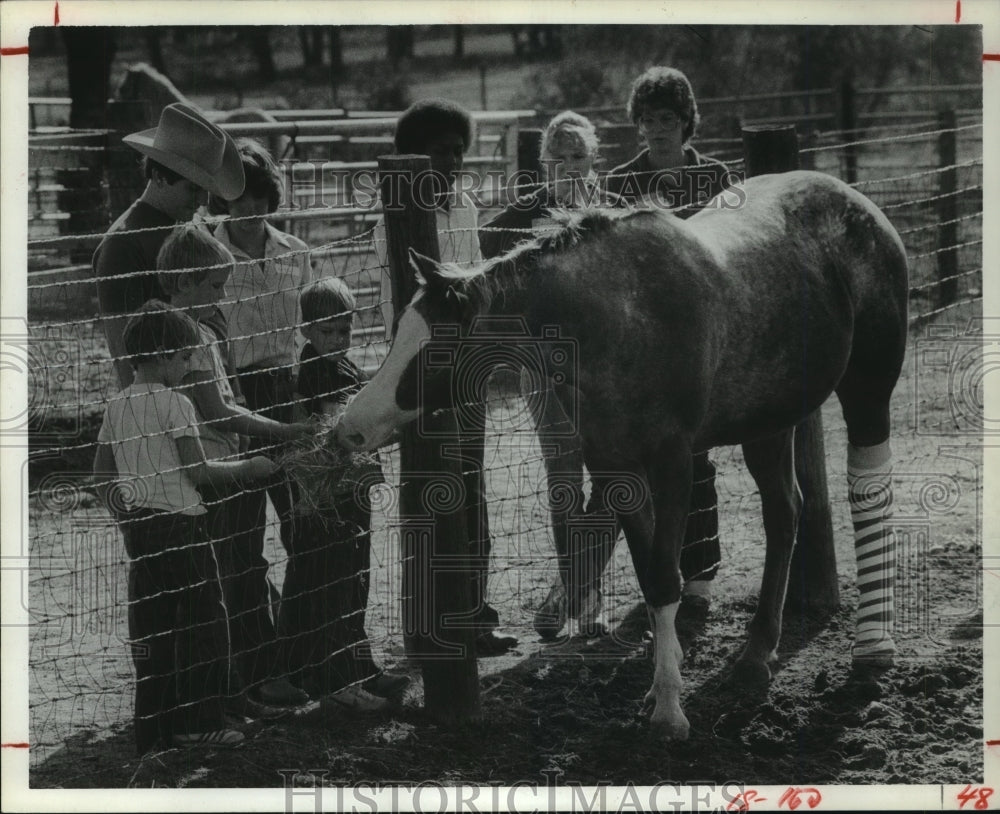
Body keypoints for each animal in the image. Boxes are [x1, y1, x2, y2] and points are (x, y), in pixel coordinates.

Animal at [334, 171, 908, 740]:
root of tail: (856, 203)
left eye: (436, 349)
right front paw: (659, 688)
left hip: (868, 388)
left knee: (867, 490)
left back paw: (873, 648)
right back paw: (756, 653)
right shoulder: (617, 467)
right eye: (399, 333)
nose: (351, 427)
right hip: (770, 421)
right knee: (785, 512)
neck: (621, 319)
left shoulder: (674, 463)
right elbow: (650, 574)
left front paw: (670, 712)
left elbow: (666, 577)